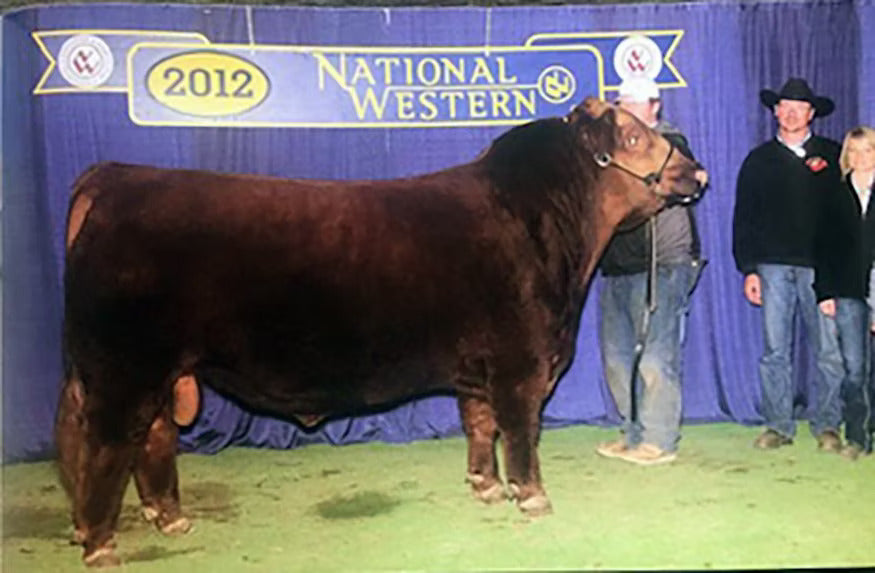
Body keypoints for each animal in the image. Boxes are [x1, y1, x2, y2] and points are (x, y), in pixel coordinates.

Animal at [56, 97, 701, 567]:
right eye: (635, 138)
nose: (696, 170)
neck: (543, 222)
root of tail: (113, 178)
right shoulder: (521, 363)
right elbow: (520, 432)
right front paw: (532, 496)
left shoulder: (477, 369)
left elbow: (480, 424)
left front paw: (486, 487)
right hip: (125, 369)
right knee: (108, 444)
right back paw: (100, 542)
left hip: (156, 371)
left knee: (153, 436)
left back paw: (168, 517)